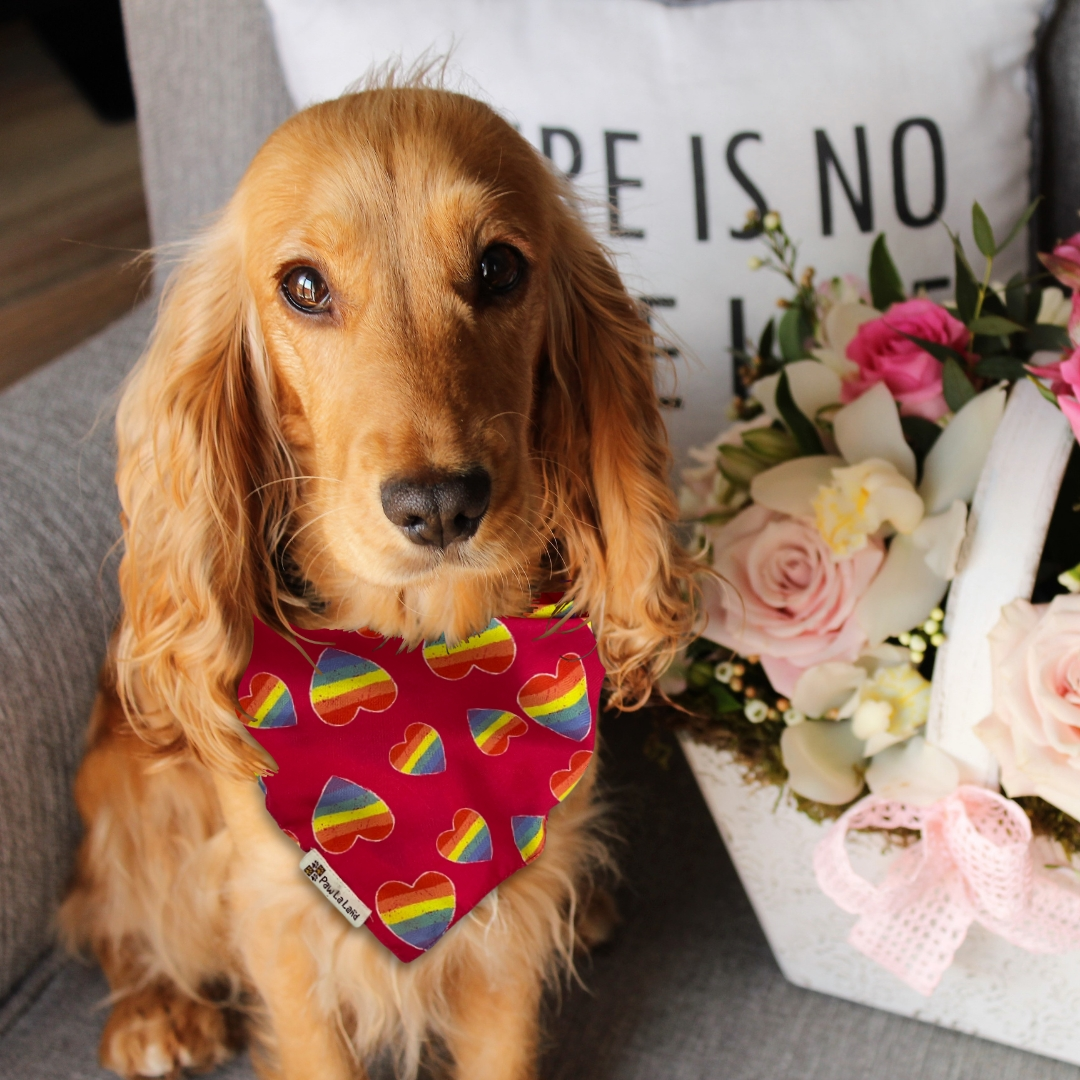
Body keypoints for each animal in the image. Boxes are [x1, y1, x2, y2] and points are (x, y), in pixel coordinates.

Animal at [59, 86, 695, 1080]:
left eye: (500, 267)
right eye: (304, 287)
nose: (438, 504)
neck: (424, 659)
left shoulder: (505, 939)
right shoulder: (283, 915)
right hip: (130, 792)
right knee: (106, 912)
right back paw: (155, 1011)